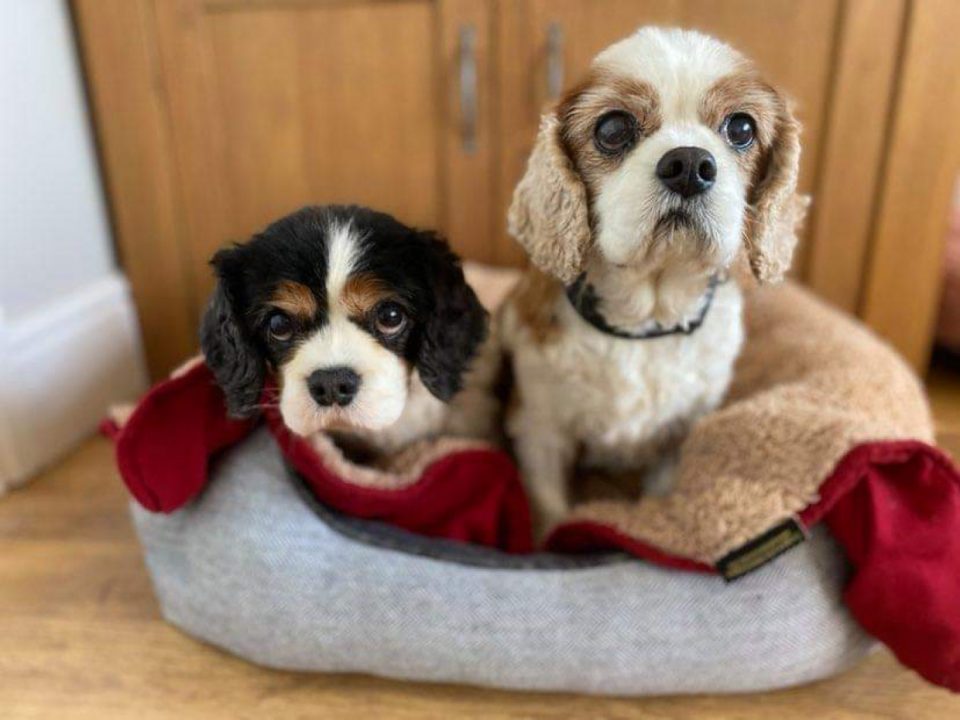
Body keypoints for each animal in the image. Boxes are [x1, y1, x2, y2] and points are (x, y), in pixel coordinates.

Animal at [498, 26, 808, 536]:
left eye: (741, 129)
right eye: (612, 129)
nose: (689, 164)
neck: (644, 323)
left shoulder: (681, 433)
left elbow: (662, 491)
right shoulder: (540, 429)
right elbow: (549, 506)